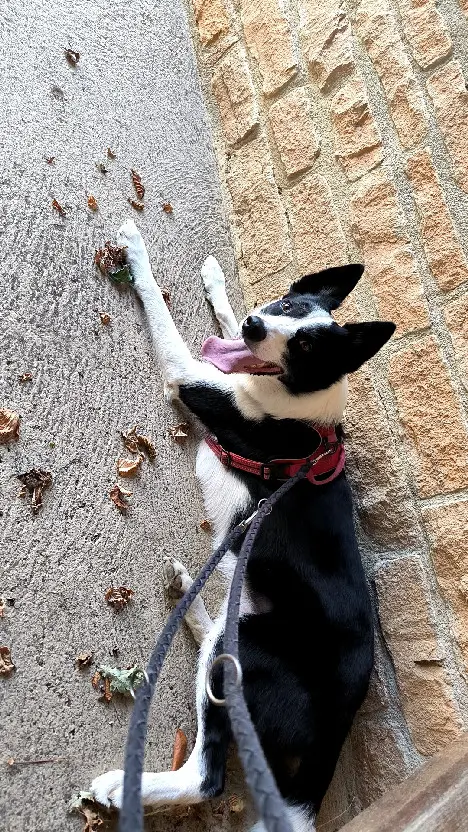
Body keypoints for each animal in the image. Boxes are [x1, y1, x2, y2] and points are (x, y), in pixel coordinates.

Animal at [90, 219, 394, 832]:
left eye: (306, 345)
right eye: (287, 306)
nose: (259, 324)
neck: (300, 403)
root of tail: (339, 725)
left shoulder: (190, 376)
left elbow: (161, 309)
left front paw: (136, 251)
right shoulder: (229, 359)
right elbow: (222, 326)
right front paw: (218, 288)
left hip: (247, 652)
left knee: (207, 777)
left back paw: (120, 787)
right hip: (235, 636)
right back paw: (192, 598)